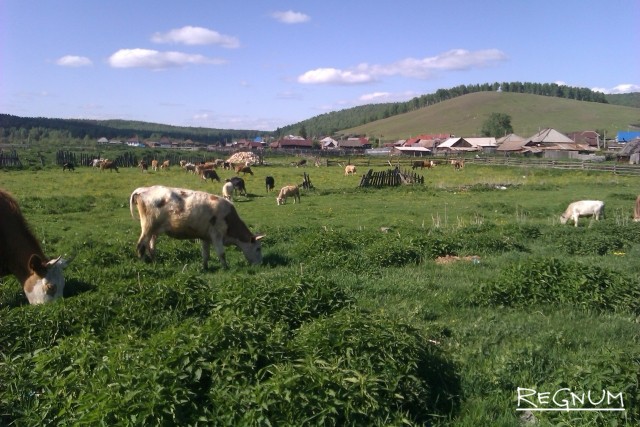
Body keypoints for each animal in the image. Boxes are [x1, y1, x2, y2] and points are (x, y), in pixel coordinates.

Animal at [129, 186, 264, 270]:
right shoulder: (216, 235)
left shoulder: (206, 237)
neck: (228, 217)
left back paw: (155, 262)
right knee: (141, 246)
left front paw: (205, 267)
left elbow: (206, 254)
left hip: (154, 231)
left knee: (151, 247)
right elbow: (221, 253)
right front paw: (226, 268)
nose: (260, 264)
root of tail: (143, 189)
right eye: (258, 248)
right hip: (148, 227)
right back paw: (143, 264)